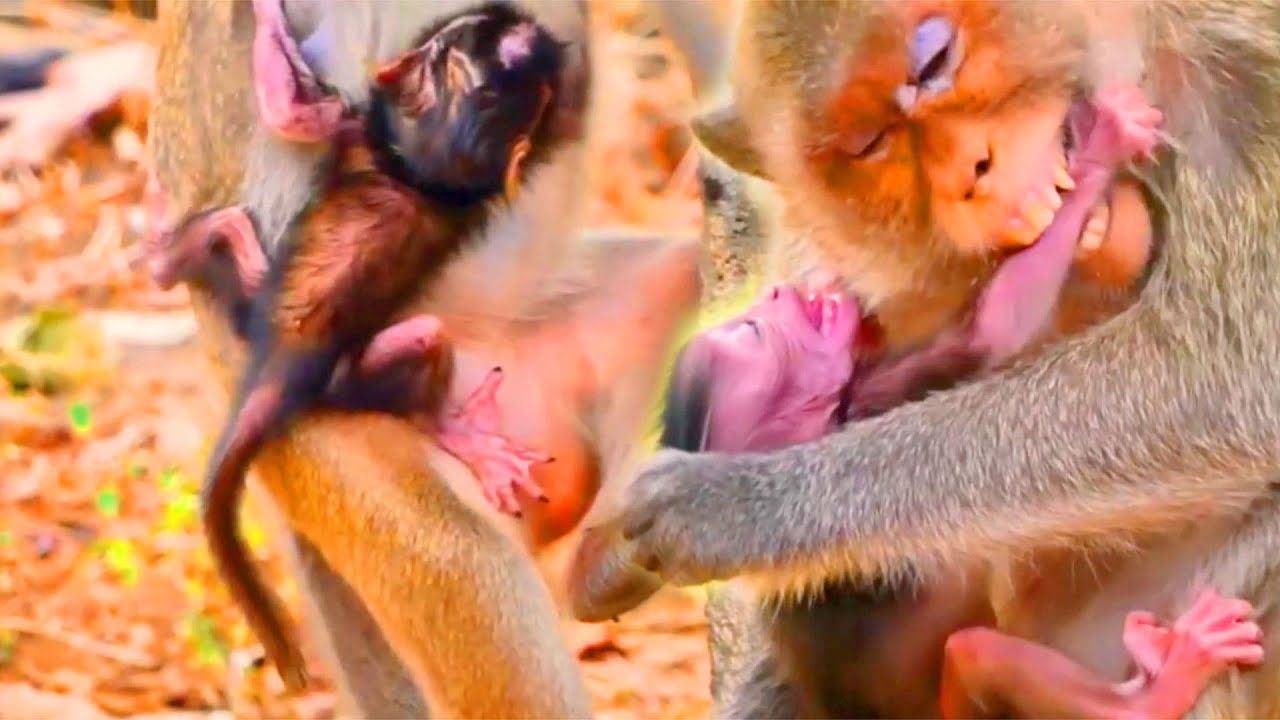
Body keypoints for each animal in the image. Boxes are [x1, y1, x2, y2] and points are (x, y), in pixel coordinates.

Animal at [149, 1, 707, 715]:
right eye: (454, 51)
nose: (514, 32)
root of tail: (272, 367)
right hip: (315, 428)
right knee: (471, 570)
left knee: (676, 282)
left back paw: (603, 557)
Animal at [584, 1, 1280, 717]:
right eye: (870, 143)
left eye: (935, 62)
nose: (968, 176)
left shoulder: (1238, 67)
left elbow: (1237, 378)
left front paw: (728, 505)